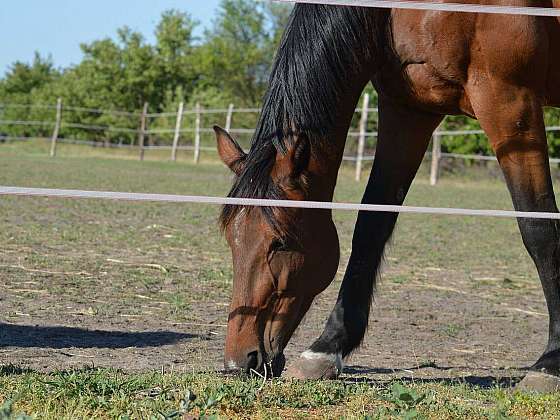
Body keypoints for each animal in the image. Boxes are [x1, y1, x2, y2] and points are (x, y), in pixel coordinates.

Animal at [213, 2, 560, 390]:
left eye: (280, 243)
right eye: (231, 239)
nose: (239, 361)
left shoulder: (509, 103)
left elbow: (539, 229)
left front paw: (550, 362)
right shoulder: (408, 111)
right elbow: (371, 226)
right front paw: (327, 348)